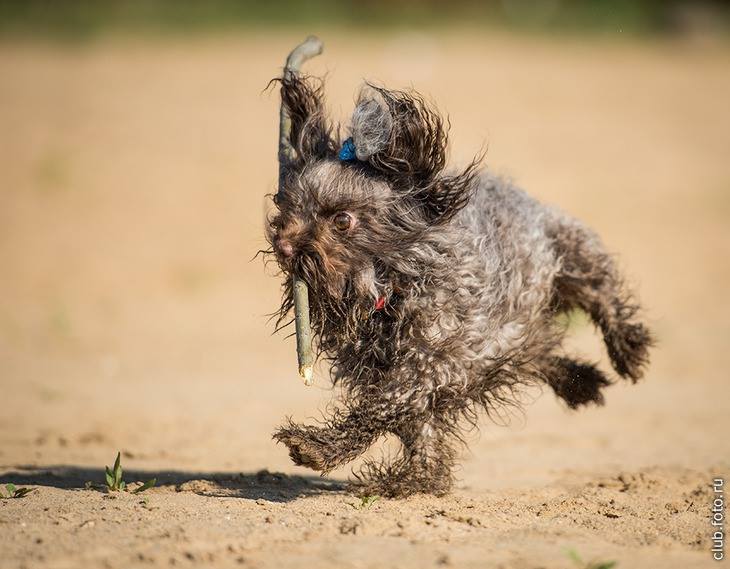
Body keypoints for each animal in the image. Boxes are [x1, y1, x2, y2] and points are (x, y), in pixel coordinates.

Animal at [264, 75, 652, 496]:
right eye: (286, 207)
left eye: (341, 220)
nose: (284, 246)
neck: (388, 289)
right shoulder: (394, 372)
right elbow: (423, 442)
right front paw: (409, 479)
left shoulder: (438, 363)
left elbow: (385, 406)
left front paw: (318, 447)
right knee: (539, 354)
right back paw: (580, 383)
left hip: (572, 255)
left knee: (604, 294)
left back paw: (628, 351)